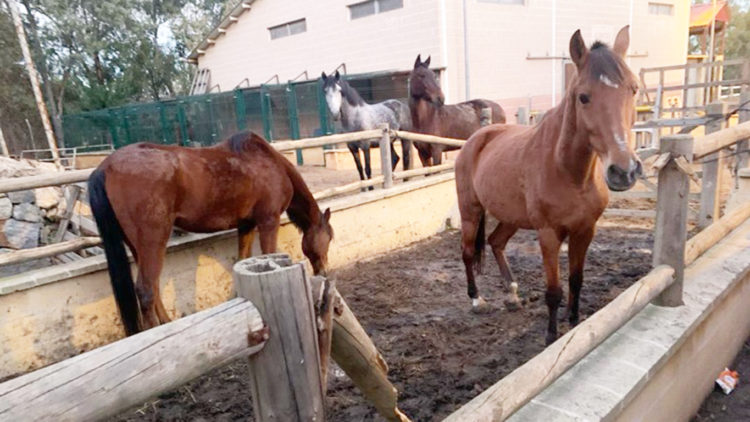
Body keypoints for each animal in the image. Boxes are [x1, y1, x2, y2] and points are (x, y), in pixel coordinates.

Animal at [89, 131, 334, 336]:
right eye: (329, 238)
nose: (324, 271)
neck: (270, 163)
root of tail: (105, 167)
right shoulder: (268, 222)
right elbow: (268, 253)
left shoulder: (246, 225)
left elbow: (242, 259)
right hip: (153, 240)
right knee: (146, 290)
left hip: (137, 245)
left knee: (154, 285)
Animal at [455, 26, 642, 345]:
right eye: (583, 97)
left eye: (633, 89)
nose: (623, 171)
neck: (569, 172)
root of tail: (476, 138)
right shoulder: (549, 235)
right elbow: (553, 291)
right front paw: (551, 337)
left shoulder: (585, 230)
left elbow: (576, 281)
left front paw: (574, 322)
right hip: (471, 211)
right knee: (468, 252)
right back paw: (477, 300)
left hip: (511, 216)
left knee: (496, 242)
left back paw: (512, 294)